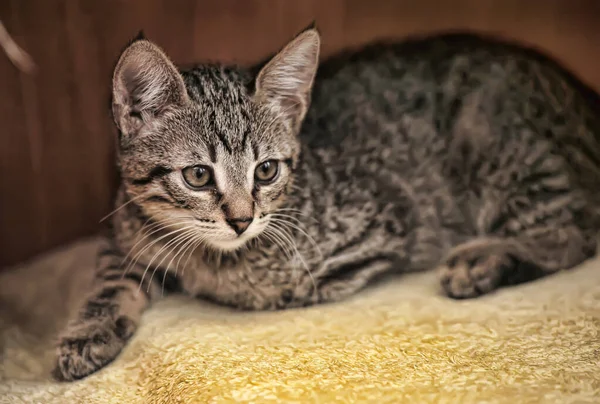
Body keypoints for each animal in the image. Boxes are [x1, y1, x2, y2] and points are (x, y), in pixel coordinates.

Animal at [51, 26, 600, 382]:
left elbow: (268, 290)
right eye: (198, 175)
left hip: (501, 147)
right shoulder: (122, 229)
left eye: (266, 171)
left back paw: (483, 260)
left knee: (575, 230)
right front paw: (88, 331)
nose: (241, 221)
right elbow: (112, 280)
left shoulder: (379, 226)